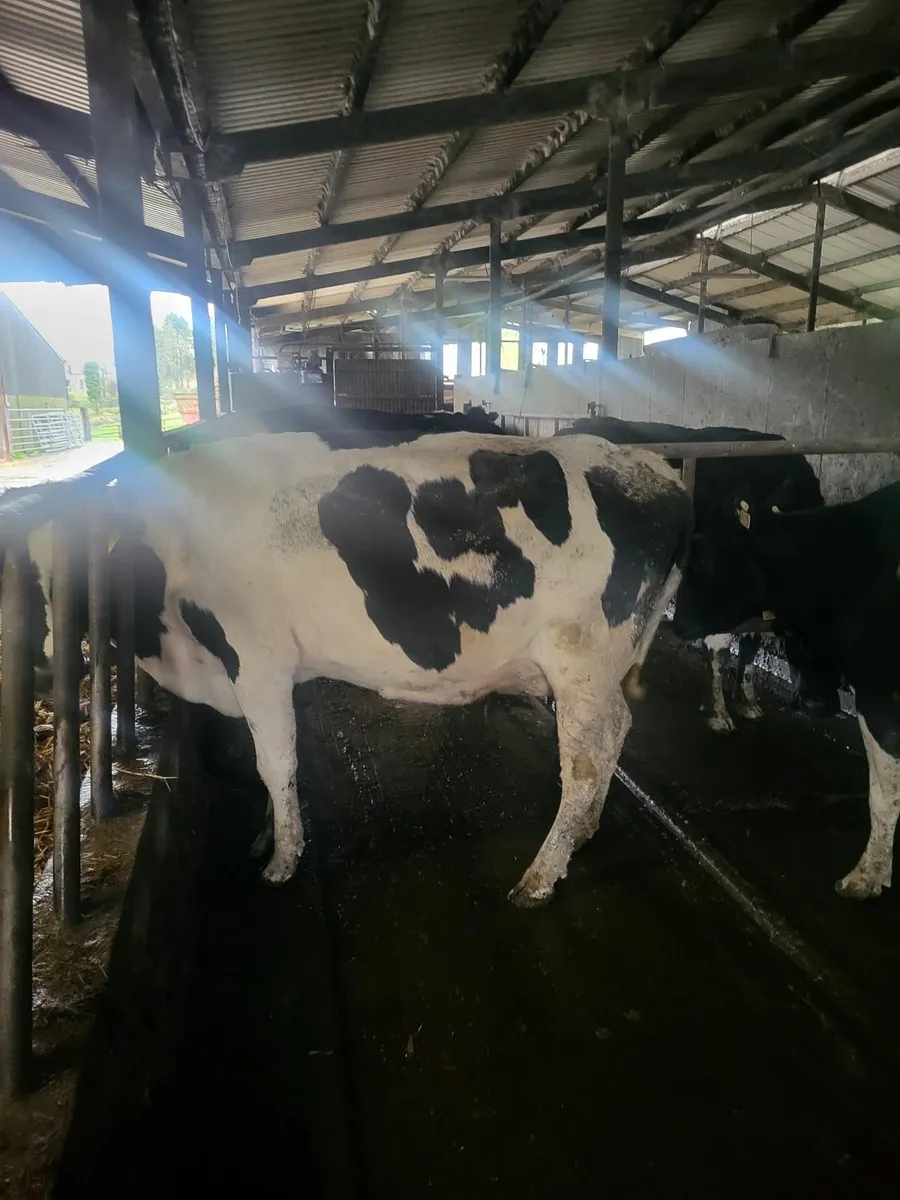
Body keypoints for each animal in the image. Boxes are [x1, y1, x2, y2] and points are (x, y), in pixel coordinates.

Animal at [6, 430, 691, 905]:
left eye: (65, 583)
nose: (38, 672)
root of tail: (651, 469)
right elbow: (271, 763)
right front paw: (267, 833)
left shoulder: (258, 659)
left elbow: (276, 761)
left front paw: (282, 861)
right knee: (613, 738)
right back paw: (585, 833)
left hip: (581, 660)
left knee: (584, 762)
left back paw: (541, 875)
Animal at [675, 479, 900, 900]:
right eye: (791, 632)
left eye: (705, 563)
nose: (677, 621)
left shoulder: (879, 695)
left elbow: (883, 795)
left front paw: (866, 877)